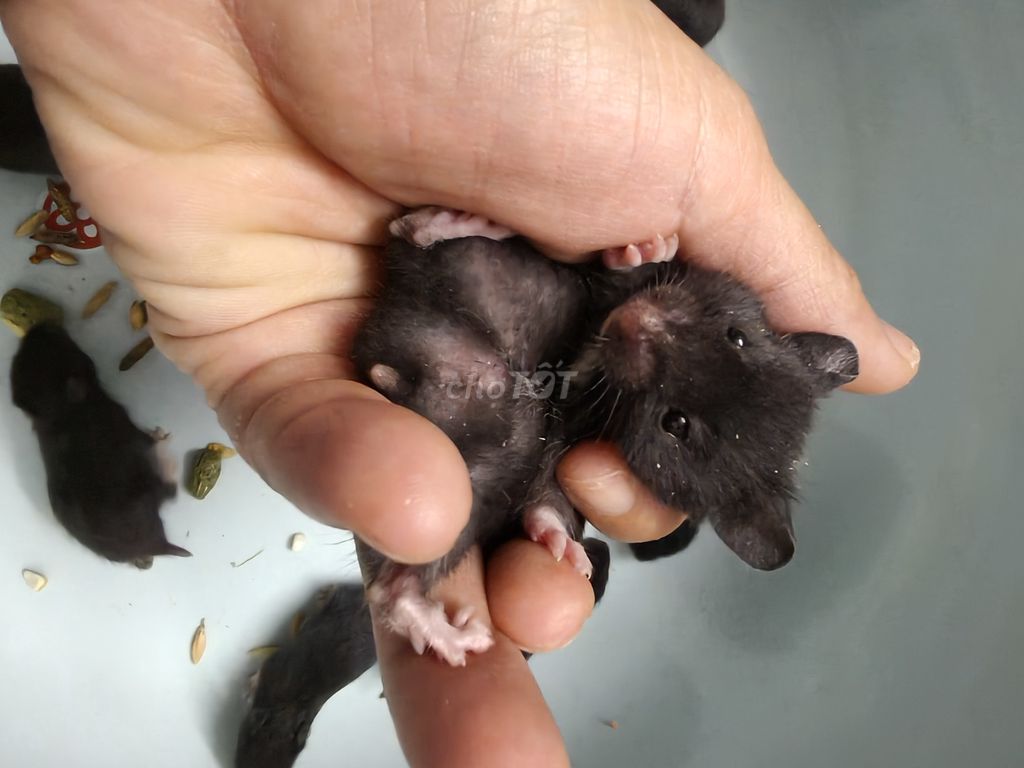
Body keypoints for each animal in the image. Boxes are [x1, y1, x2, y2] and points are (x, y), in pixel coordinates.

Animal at [10, 323, 190, 568]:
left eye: (21, 354)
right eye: (74, 352)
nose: (41, 326)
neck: (59, 410)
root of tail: (157, 545)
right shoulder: (128, 426)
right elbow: (149, 441)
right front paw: (161, 435)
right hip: (148, 485)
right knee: (169, 490)